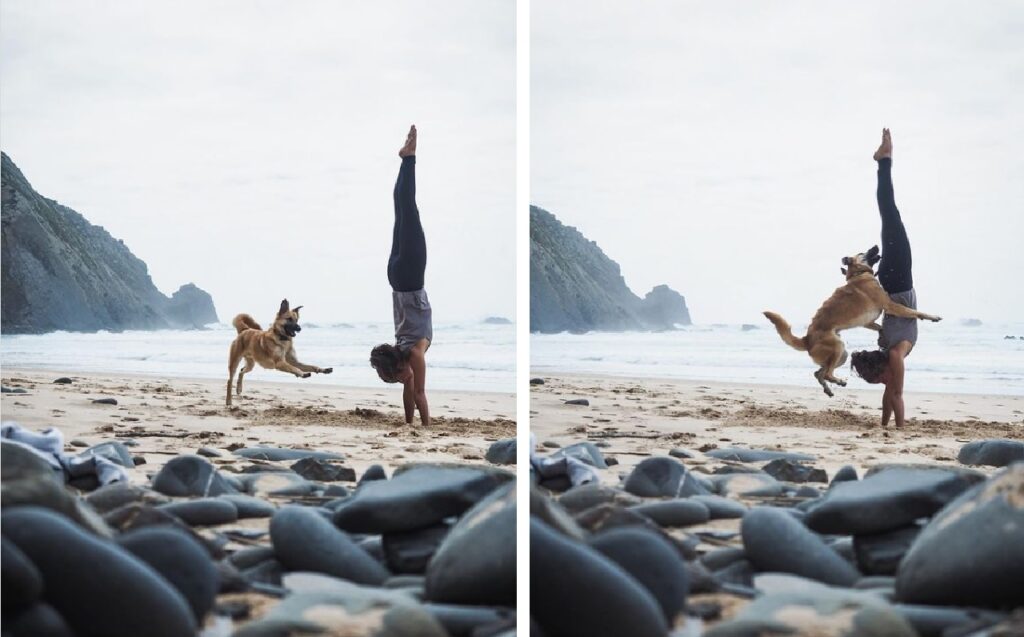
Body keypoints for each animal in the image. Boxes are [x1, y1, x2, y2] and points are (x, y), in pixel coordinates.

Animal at [765, 246, 937, 397]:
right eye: (862, 252)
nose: (876, 245)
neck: (858, 274)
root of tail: (807, 340)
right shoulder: (891, 306)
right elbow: (913, 312)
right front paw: (932, 316)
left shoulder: (868, 322)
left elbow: (880, 328)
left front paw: (882, 337)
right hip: (838, 347)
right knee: (826, 373)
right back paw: (838, 381)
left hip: (842, 355)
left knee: (819, 373)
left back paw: (830, 388)